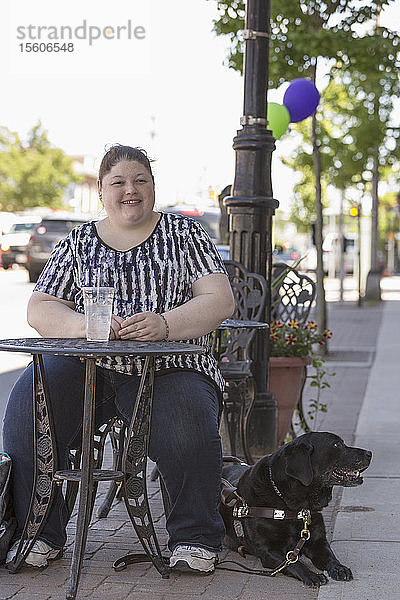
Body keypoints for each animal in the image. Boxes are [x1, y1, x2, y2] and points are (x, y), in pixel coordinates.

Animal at [220, 432, 370, 584]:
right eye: (336, 444)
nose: (369, 453)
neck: (294, 505)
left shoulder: (318, 542)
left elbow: (330, 557)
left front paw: (339, 568)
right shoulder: (268, 550)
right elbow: (293, 562)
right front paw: (312, 575)